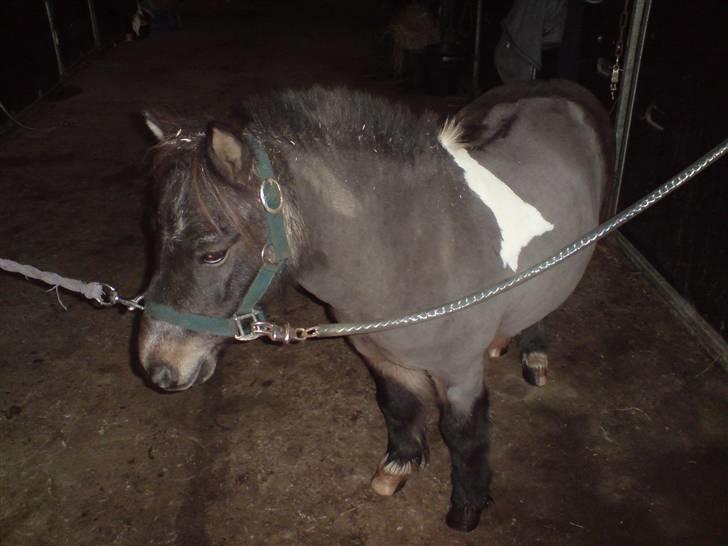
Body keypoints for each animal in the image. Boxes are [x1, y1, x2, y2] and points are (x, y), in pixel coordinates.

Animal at [138, 80, 613, 532]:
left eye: (213, 253)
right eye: (156, 234)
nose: (159, 367)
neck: (416, 246)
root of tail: (560, 90)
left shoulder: (459, 373)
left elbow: (464, 434)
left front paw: (467, 508)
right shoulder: (378, 355)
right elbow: (398, 405)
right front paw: (399, 465)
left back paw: (534, 355)